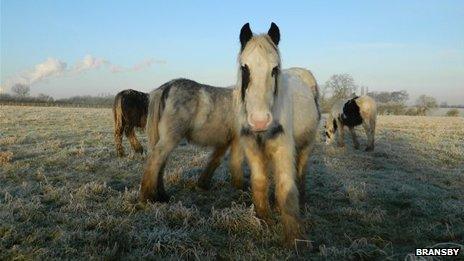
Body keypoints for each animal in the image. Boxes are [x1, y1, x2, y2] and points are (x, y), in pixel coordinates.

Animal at [234, 22, 320, 246]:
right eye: (244, 68)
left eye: (274, 69)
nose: (259, 120)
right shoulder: (253, 148)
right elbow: (259, 182)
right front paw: (264, 219)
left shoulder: (284, 149)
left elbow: (286, 188)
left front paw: (295, 239)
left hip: (306, 145)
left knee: (301, 172)